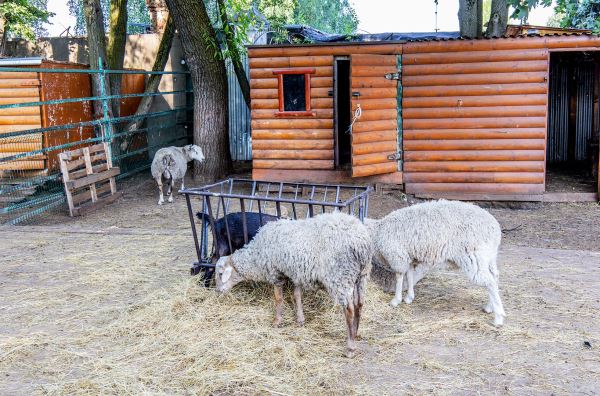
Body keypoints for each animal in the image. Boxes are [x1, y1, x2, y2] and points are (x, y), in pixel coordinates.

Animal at [213, 212, 372, 358]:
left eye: (220, 274)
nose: (218, 291)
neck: (256, 256)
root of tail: (361, 243)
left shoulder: (275, 272)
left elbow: (278, 299)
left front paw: (277, 321)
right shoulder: (296, 271)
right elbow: (297, 295)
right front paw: (300, 319)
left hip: (340, 275)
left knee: (349, 310)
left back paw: (350, 347)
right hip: (361, 275)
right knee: (359, 304)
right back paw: (355, 333)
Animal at [366, 200, 506, 326]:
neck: (377, 232)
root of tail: (495, 229)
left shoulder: (398, 256)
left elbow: (399, 276)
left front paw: (396, 300)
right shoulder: (409, 256)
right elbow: (409, 275)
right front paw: (409, 297)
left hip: (473, 257)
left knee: (489, 282)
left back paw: (498, 318)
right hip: (488, 257)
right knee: (495, 277)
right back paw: (489, 307)